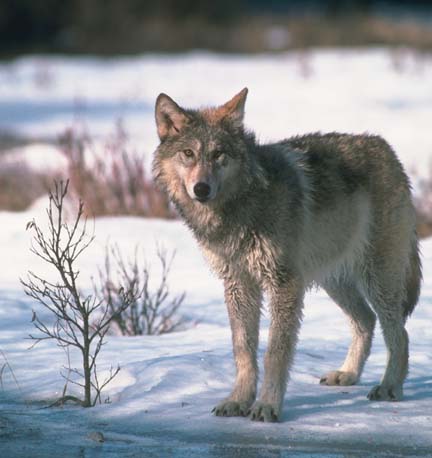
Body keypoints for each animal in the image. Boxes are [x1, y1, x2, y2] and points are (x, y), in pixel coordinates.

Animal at [153, 87, 422, 420]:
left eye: (219, 155)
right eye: (188, 154)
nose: (201, 189)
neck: (239, 209)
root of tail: (386, 148)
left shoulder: (284, 283)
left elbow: (275, 352)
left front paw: (267, 405)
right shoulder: (238, 285)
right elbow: (243, 349)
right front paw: (238, 400)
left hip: (377, 279)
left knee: (399, 333)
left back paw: (389, 386)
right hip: (336, 281)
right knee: (366, 321)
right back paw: (348, 374)